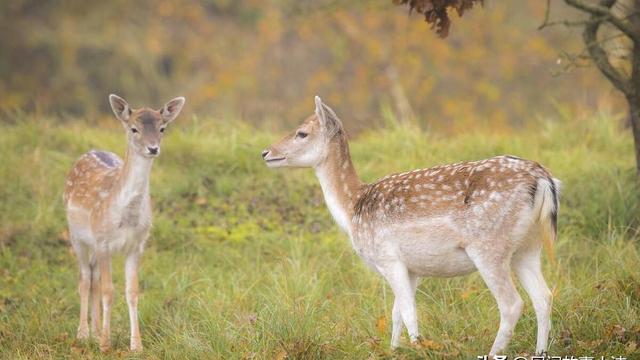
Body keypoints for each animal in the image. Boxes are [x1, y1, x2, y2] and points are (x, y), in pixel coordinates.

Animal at [63, 93, 185, 352]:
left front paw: (136, 345)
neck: (126, 218)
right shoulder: (103, 241)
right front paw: (105, 344)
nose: (153, 148)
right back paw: (83, 333)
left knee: (94, 277)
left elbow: (132, 291)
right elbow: (109, 291)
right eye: (133, 129)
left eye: (162, 128)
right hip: (76, 236)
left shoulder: (137, 245)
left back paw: (95, 330)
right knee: (84, 279)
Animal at [262, 96, 556, 358]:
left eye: (302, 133)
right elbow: (396, 314)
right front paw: (394, 350)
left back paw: (494, 351)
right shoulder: (412, 268)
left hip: (488, 246)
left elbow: (409, 312)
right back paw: (540, 351)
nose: (266, 152)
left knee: (512, 303)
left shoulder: (388, 257)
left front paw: (418, 349)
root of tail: (542, 180)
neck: (353, 208)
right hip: (528, 247)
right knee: (544, 297)